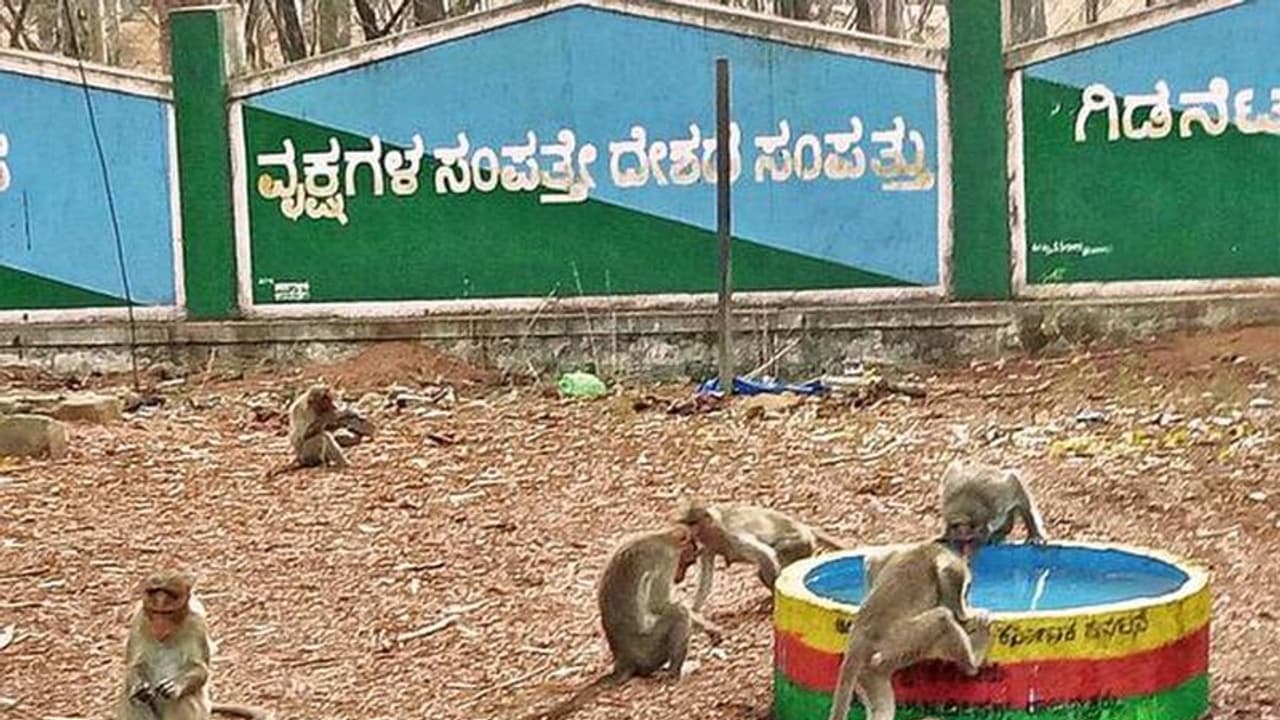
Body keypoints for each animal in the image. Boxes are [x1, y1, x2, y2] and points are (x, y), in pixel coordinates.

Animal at [119, 570, 274, 720]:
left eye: (167, 613)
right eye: (156, 612)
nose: (159, 626)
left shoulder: (196, 624)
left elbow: (200, 669)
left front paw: (176, 686)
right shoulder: (139, 620)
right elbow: (134, 666)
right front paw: (140, 688)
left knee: (182, 698)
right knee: (133, 698)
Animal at [522, 525, 723, 720]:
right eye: (687, 562)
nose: (679, 578)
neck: (664, 537)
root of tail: (623, 659)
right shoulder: (667, 560)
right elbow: (660, 605)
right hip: (649, 650)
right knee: (678, 614)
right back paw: (673, 672)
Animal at [675, 499, 851, 612]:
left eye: (694, 524)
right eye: (689, 524)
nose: (688, 533)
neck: (714, 528)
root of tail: (804, 527)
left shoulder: (732, 536)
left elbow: (765, 554)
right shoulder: (707, 548)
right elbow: (706, 581)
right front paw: (694, 610)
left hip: (800, 543)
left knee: (775, 554)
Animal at [826, 539, 992, 720]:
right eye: (966, 592)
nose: (967, 599)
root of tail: (859, 635)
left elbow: (872, 561)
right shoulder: (946, 559)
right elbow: (948, 573)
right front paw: (966, 614)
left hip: (870, 667)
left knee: (882, 706)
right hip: (894, 643)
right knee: (943, 619)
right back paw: (972, 664)